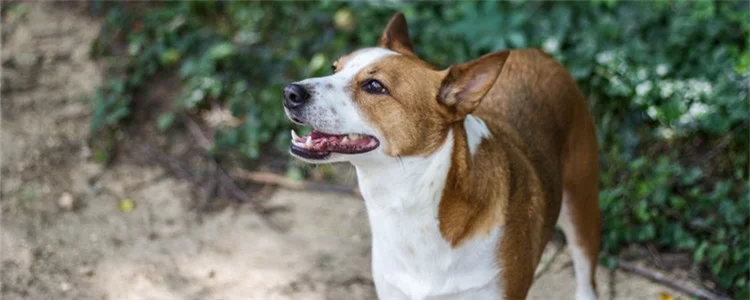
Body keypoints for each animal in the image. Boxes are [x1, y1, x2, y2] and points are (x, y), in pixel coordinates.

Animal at [284, 12, 604, 300]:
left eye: (374, 86)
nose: (290, 92)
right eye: (334, 67)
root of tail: (538, 52)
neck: (408, 203)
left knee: (586, 273)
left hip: (581, 206)